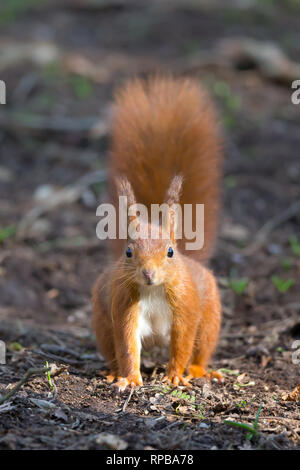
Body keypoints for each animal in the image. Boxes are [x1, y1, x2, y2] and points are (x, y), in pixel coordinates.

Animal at [92, 77, 224, 392]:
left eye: (170, 252)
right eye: (129, 251)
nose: (148, 274)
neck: (152, 290)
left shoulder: (186, 307)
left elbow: (183, 344)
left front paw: (175, 376)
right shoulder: (124, 305)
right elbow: (127, 346)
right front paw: (130, 378)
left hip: (210, 317)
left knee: (200, 350)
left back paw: (200, 371)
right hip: (101, 320)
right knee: (112, 348)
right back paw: (113, 372)